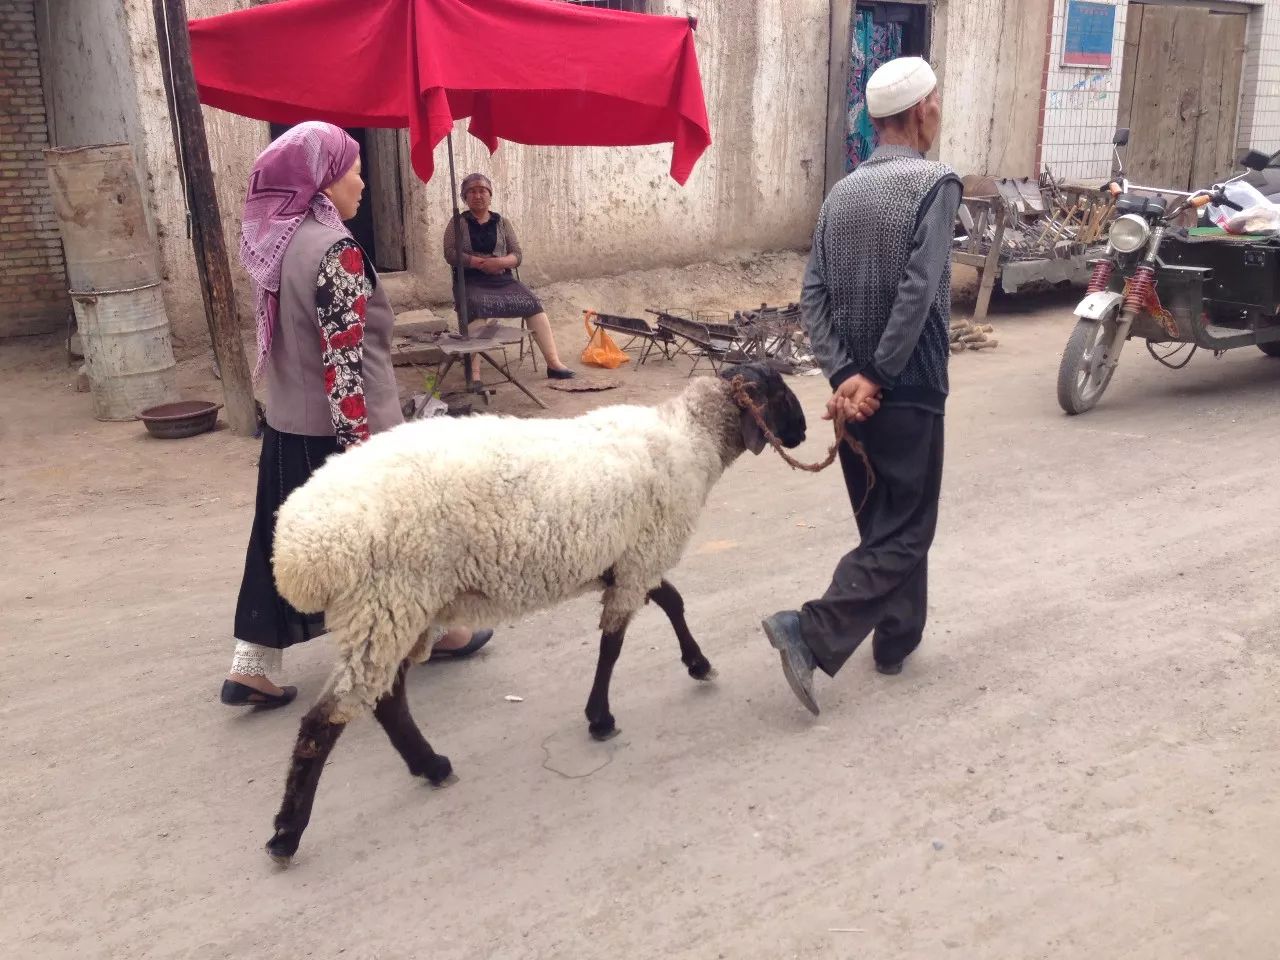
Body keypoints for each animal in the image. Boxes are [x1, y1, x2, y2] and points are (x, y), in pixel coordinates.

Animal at [267, 360, 808, 865]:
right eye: (779, 392)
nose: (802, 432)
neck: (692, 438)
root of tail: (299, 552)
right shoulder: (641, 558)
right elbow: (614, 645)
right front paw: (601, 718)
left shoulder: (631, 559)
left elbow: (671, 601)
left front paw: (697, 664)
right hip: (386, 604)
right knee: (326, 719)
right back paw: (287, 834)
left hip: (395, 610)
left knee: (386, 700)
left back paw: (431, 766)